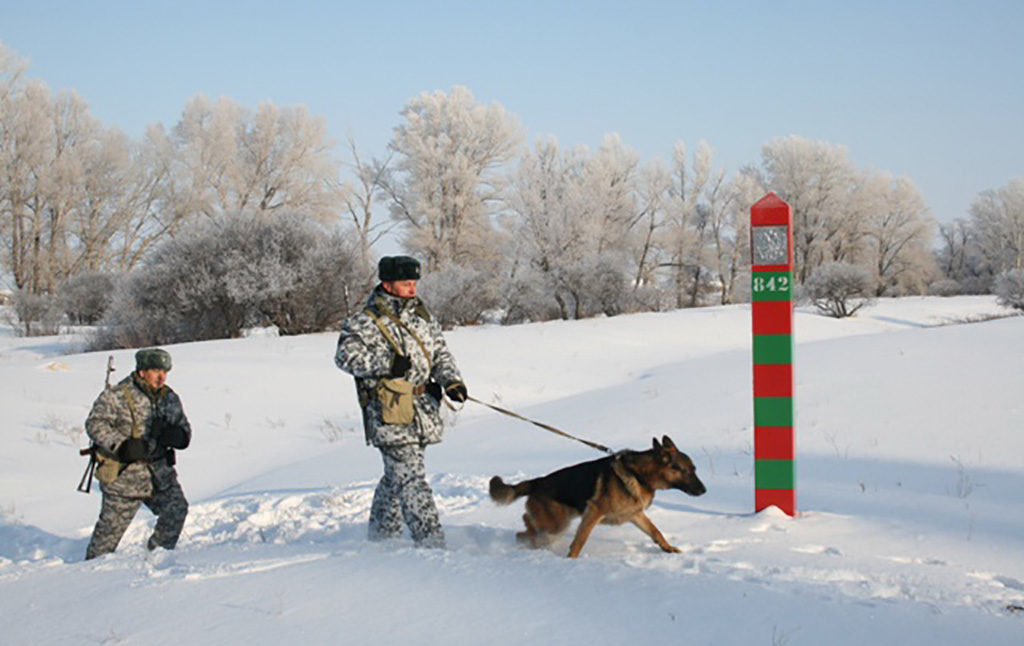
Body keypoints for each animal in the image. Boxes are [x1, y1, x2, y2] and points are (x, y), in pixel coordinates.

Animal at [487, 438, 704, 556]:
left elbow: (655, 532)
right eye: (686, 471)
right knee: (526, 532)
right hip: (556, 525)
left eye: (695, 469)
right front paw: (571, 560)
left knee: (527, 526)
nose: (704, 491)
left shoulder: (635, 515)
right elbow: (580, 540)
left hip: (555, 524)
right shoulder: (593, 512)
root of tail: (537, 482)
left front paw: (668, 549)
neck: (639, 474)